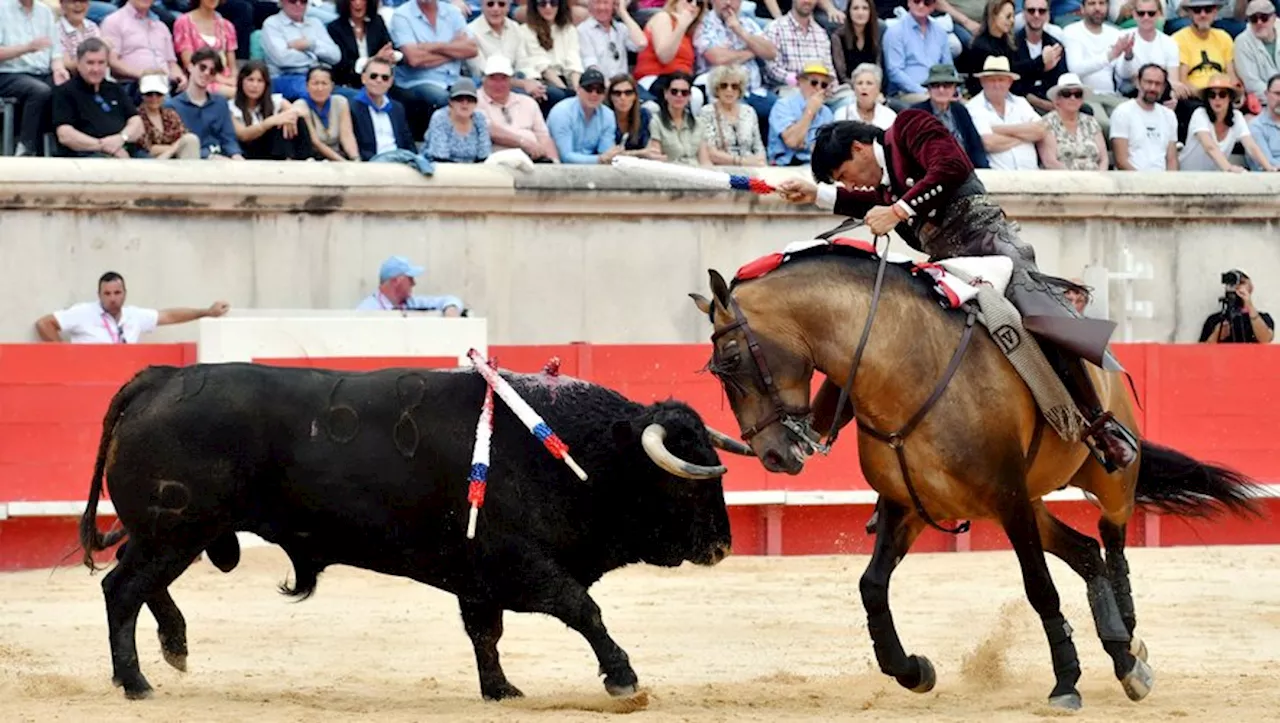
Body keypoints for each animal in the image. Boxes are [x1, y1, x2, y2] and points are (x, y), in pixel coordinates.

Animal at [77, 363, 747, 701]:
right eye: (685, 481)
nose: (723, 545)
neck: (575, 453)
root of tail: (158, 377)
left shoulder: (478, 578)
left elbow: (486, 633)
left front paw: (500, 690)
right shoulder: (518, 563)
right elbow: (582, 609)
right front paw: (623, 678)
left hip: (173, 532)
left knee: (138, 583)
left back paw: (175, 648)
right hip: (177, 530)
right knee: (123, 589)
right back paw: (136, 681)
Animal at [691, 238, 1259, 711]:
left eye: (732, 359)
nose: (773, 456)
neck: (904, 367)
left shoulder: (1007, 498)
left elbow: (1039, 588)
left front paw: (1066, 681)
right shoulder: (908, 505)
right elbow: (872, 585)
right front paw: (912, 670)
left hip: (1109, 479)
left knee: (1112, 538)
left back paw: (1131, 648)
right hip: (1031, 504)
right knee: (1085, 551)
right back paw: (1121, 644)